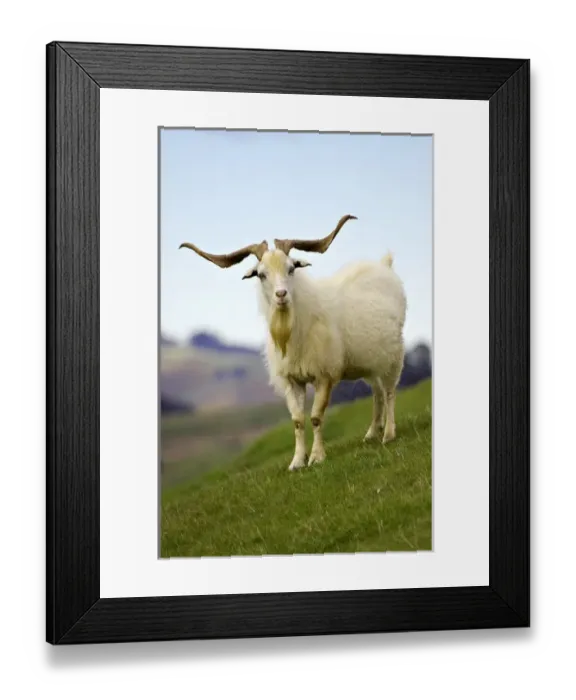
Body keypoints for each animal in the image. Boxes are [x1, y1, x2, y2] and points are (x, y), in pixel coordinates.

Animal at [180, 215, 407, 471]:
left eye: (291, 268)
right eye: (261, 274)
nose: (281, 295)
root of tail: (384, 266)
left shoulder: (324, 376)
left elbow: (316, 417)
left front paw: (317, 457)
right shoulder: (292, 381)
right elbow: (297, 421)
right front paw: (297, 461)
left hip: (394, 356)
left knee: (389, 392)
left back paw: (389, 434)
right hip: (371, 362)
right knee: (378, 393)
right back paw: (372, 433)